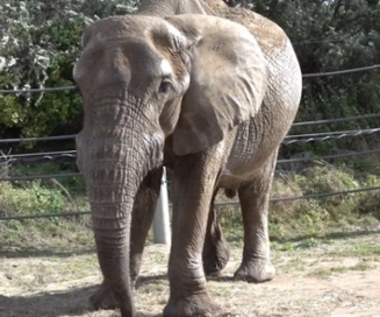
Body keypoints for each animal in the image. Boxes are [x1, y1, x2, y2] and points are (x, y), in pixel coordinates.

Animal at [72, 1, 302, 314]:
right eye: (79, 86)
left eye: (165, 87)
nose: (130, 310)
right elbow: (144, 192)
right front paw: (105, 302)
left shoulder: (215, 103)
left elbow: (193, 187)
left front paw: (194, 310)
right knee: (213, 191)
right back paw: (213, 267)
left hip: (274, 130)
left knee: (253, 191)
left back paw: (252, 277)